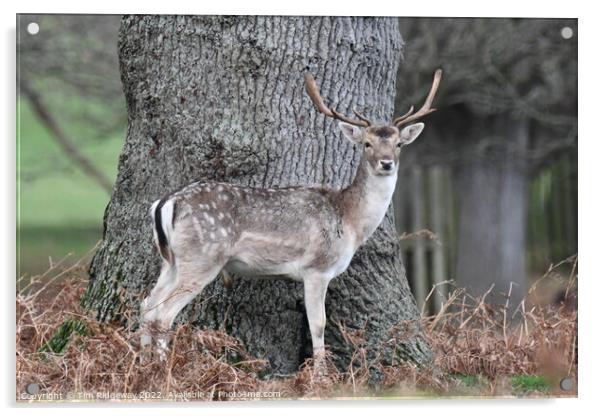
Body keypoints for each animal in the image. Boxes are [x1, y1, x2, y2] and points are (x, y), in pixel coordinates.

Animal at [141, 70, 440, 362]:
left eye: (399, 144)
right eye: (367, 143)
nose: (386, 163)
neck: (350, 221)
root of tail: (166, 202)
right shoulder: (317, 268)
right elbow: (318, 325)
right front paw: (320, 373)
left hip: (171, 260)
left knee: (147, 305)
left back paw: (143, 364)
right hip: (202, 256)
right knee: (164, 313)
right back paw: (162, 368)